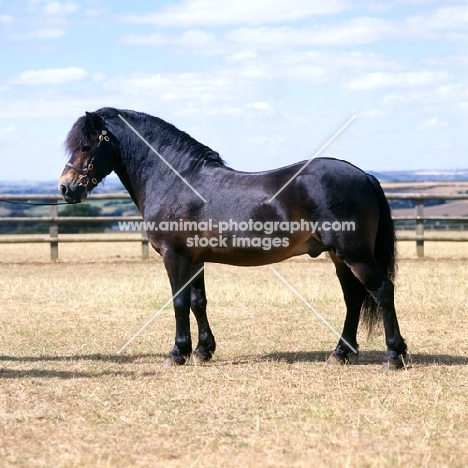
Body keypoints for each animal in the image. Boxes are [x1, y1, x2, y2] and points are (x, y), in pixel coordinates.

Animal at [58, 108, 408, 372]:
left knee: (381, 291)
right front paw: (202, 351)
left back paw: (393, 356)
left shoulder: (174, 255)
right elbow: (198, 302)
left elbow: (179, 301)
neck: (174, 180)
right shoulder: (194, 259)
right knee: (354, 299)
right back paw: (340, 354)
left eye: (86, 146)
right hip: (339, 256)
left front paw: (177, 353)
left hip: (354, 254)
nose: (65, 188)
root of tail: (364, 175)